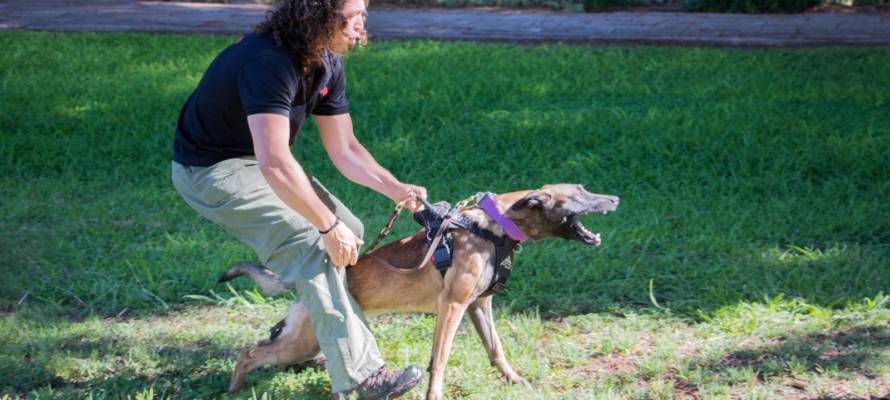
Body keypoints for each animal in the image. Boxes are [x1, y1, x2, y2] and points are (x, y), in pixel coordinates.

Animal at [220, 184, 616, 400]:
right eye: (579, 194)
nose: (614, 198)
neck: (494, 225)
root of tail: (303, 282)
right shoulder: (452, 306)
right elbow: (439, 360)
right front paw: (433, 393)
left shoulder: (479, 306)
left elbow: (496, 351)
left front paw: (515, 380)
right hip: (299, 342)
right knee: (249, 353)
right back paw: (233, 389)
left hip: (307, 339)